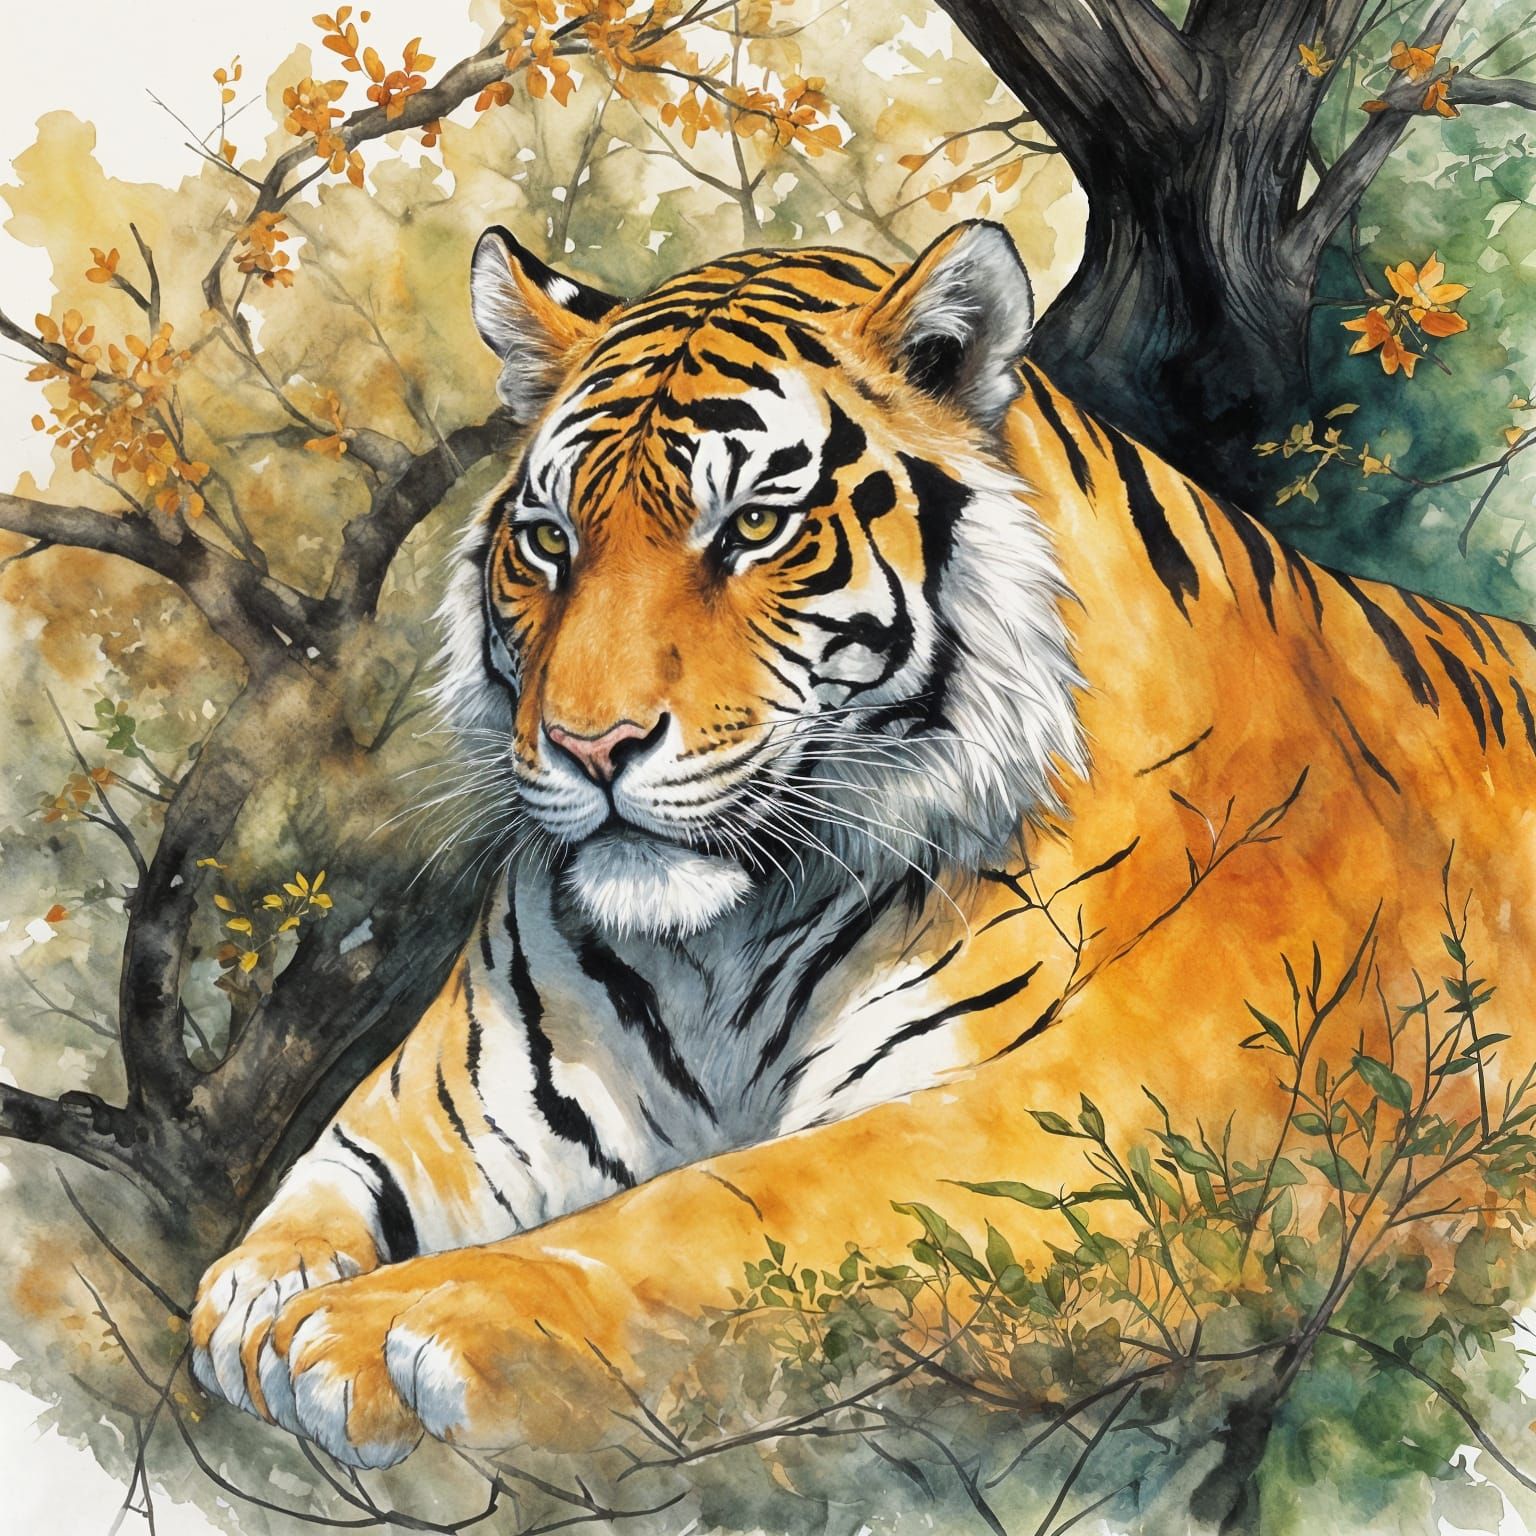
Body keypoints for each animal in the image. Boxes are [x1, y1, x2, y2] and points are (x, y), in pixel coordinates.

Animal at [190, 218, 1536, 1471]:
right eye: (551, 543)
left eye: (753, 528)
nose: (588, 744)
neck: (722, 941)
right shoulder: (447, 1106)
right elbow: (297, 1214)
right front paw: (265, 1308)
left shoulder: (1089, 1117)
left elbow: (721, 1209)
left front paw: (389, 1326)